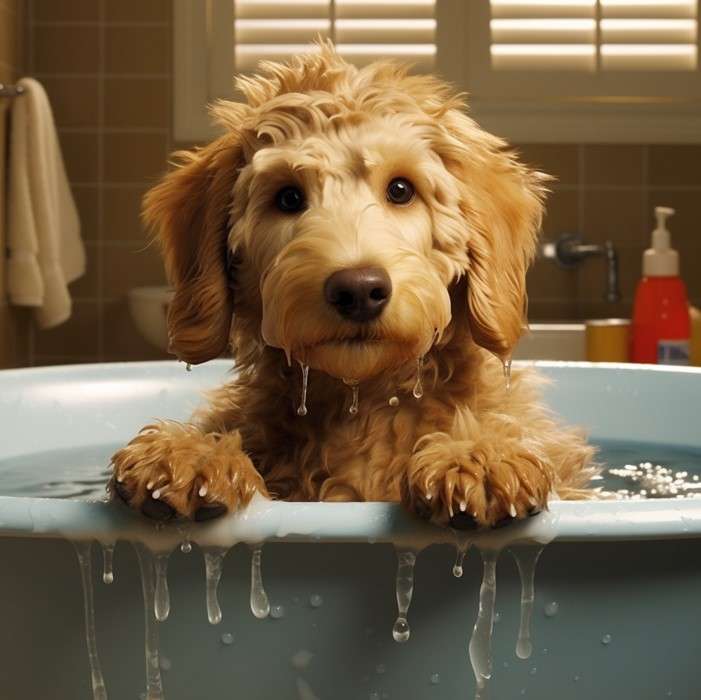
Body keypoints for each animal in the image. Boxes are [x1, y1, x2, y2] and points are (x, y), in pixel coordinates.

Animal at [110, 43, 596, 528]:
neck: (363, 402)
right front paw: (191, 453)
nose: (359, 290)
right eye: (288, 197)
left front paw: (476, 456)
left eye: (401, 189)